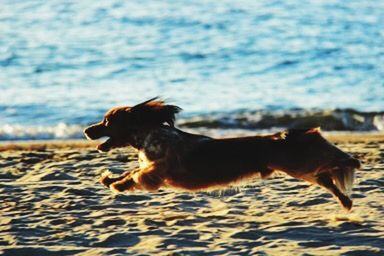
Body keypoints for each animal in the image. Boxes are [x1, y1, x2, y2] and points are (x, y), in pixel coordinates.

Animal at [83, 98, 360, 210]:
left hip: (297, 163)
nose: (86, 130)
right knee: (326, 177)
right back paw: (345, 201)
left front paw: (117, 184)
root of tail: (282, 136)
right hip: (300, 167)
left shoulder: (159, 170)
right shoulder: (154, 167)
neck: (151, 133)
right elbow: (132, 170)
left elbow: (137, 174)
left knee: (331, 161)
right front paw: (109, 179)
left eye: (107, 121)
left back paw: (352, 165)